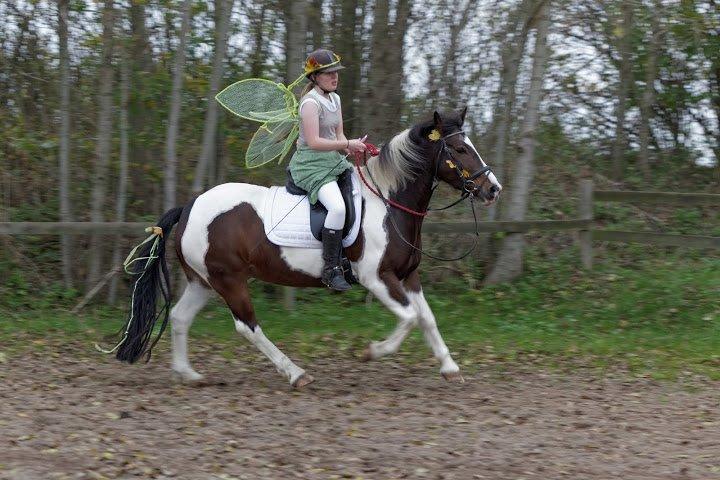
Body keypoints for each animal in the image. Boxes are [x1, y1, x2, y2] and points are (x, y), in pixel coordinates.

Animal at [111, 107, 500, 388]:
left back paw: (188, 374)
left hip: (203, 281)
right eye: (460, 149)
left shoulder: (408, 276)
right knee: (247, 326)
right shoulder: (377, 278)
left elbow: (427, 319)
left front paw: (450, 367)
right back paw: (296, 374)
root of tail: (190, 207)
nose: (493, 189)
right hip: (229, 280)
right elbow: (410, 318)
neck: (389, 203)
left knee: (180, 317)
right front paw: (372, 352)